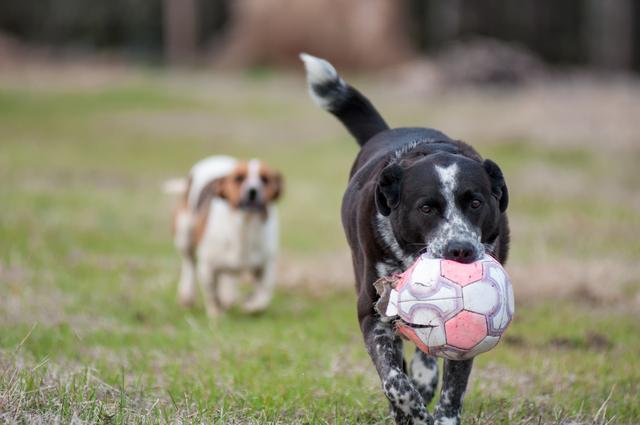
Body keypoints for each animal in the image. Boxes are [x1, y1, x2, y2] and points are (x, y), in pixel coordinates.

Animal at [168, 155, 282, 314]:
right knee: (189, 263)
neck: (245, 225)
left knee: (228, 277)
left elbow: (264, 294)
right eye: (239, 178)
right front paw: (216, 315)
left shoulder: (266, 264)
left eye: (264, 179)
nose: (253, 191)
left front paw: (251, 306)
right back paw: (187, 296)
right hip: (184, 234)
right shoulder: (207, 267)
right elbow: (212, 295)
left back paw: (229, 297)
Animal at [300, 53, 510, 424]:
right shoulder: (372, 315)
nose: (460, 250)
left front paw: (440, 414)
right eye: (426, 208)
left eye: (475, 202)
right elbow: (395, 381)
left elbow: (453, 384)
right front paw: (414, 414)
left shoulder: (468, 335)